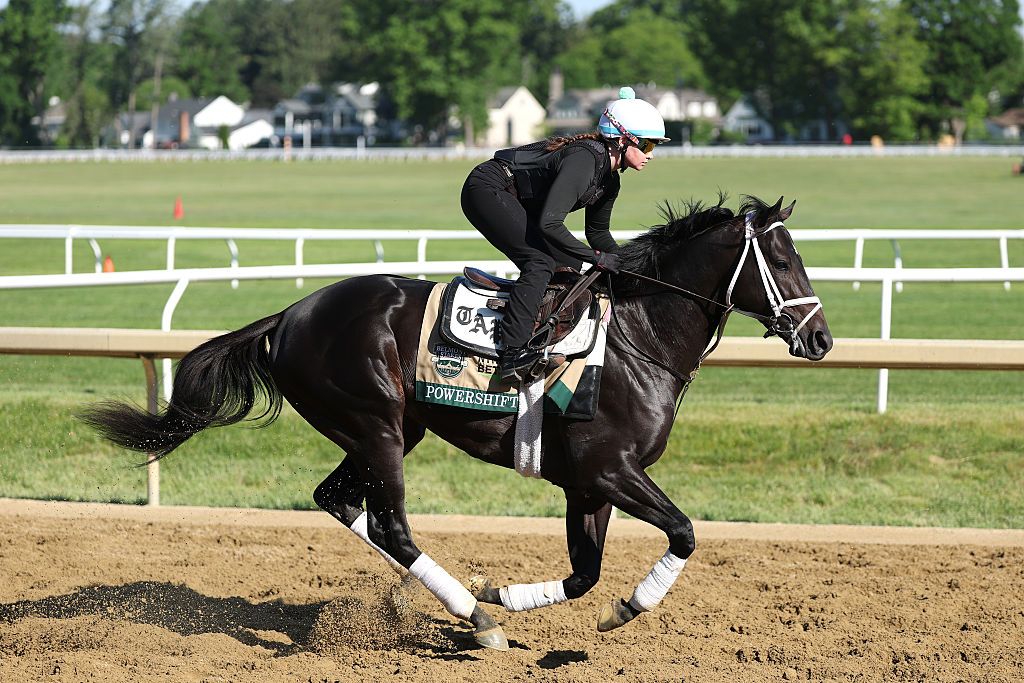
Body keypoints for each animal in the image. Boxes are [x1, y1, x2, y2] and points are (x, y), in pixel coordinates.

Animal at [81, 195, 833, 651]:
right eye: (782, 259)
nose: (821, 339)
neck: (638, 335)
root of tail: (290, 314)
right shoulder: (610, 469)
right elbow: (683, 532)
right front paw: (622, 606)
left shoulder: (587, 484)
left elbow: (586, 572)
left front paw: (514, 591)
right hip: (377, 425)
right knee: (390, 522)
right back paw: (476, 619)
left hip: (385, 429)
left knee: (338, 499)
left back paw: (459, 604)